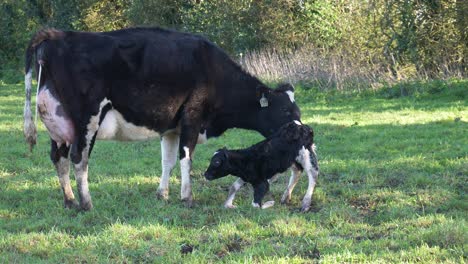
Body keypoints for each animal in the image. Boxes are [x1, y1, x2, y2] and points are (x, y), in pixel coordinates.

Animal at [22, 26, 300, 210]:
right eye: (286, 111)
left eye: (296, 111)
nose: (301, 130)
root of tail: (58, 35)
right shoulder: (191, 118)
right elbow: (186, 159)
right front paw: (187, 197)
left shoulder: (171, 128)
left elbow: (168, 161)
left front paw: (162, 194)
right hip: (87, 120)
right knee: (79, 158)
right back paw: (86, 203)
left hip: (60, 125)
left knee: (58, 158)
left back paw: (69, 201)